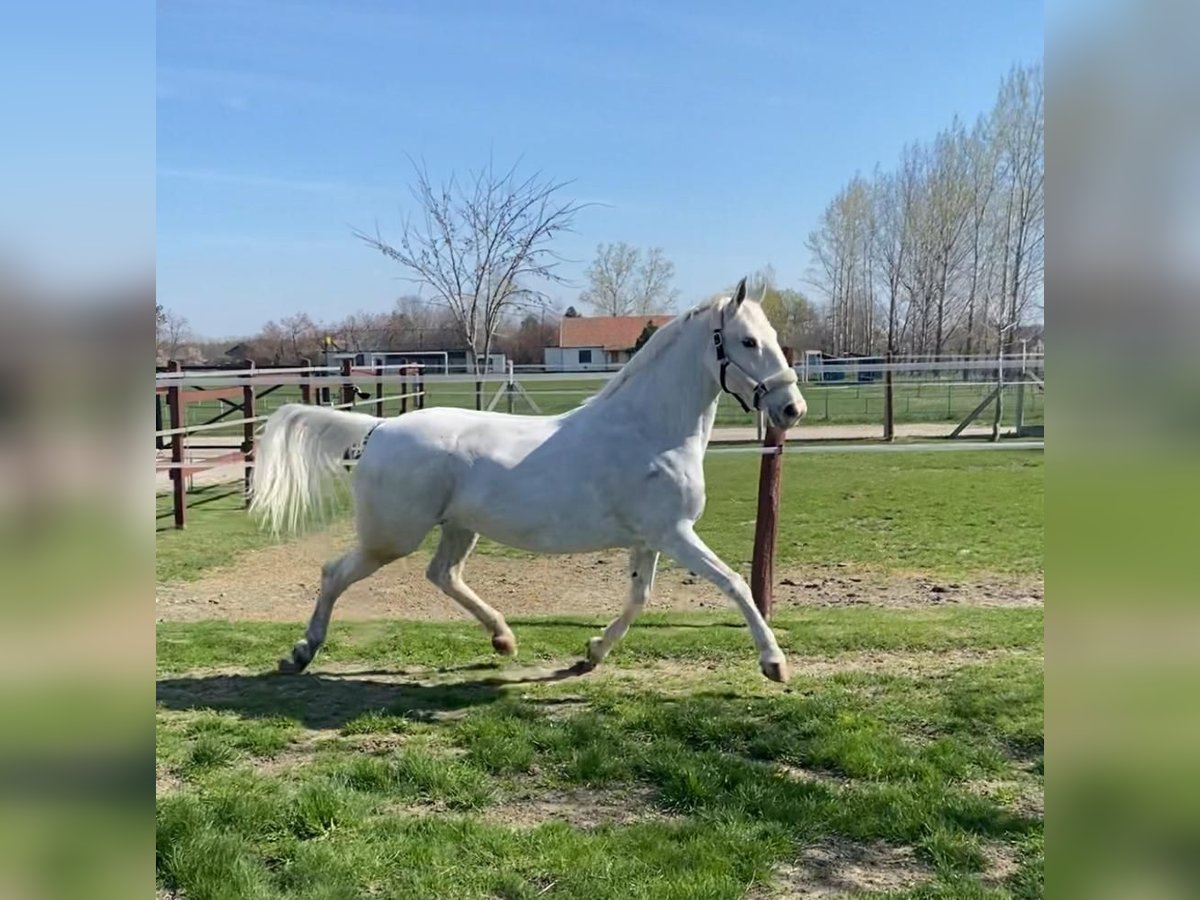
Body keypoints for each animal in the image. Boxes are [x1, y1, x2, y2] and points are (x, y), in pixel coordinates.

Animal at [258, 278, 811, 681]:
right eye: (747, 341)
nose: (792, 409)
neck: (648, 431)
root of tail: (380, 428)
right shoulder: (674, 534)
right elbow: (735, 583)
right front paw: (774, 663)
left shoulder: (649, 539)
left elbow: (639, 599)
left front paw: (590, 654)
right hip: (391, 537)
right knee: (335, 573)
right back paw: (300, 653)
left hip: (458, 528)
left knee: (443, 575)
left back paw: (503, 637)